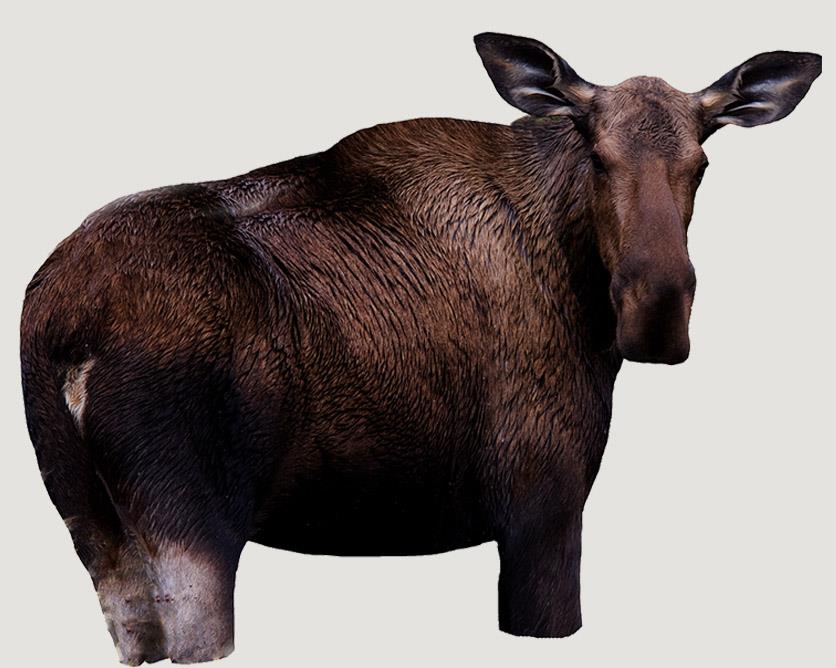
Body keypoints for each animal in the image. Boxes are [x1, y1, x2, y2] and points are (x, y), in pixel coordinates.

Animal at [20, 32, 821, 664]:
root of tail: (65, 328)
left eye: (702, 163)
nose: (657, 315)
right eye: (596, 155)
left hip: (95, 528)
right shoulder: (543, 507)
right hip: (194, 528)